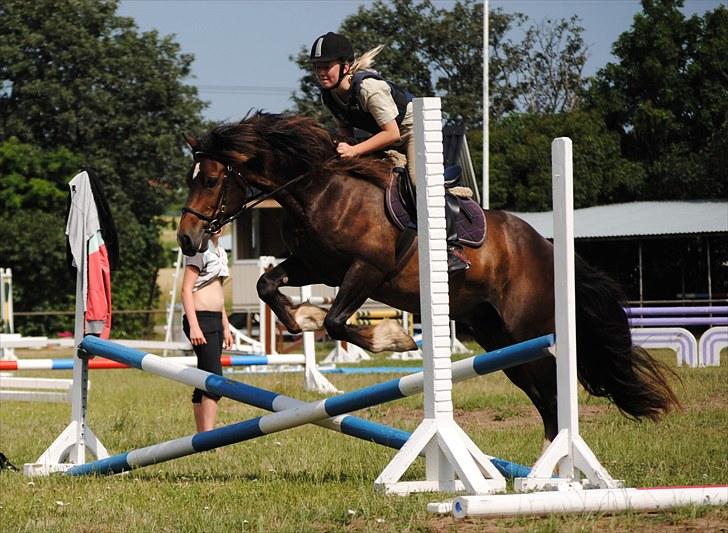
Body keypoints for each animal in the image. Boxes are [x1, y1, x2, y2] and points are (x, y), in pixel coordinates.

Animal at [176, 111, 676, 440]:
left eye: (211, 180)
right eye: (191, 178)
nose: (185, 238)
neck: (319, 189)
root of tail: (547, 247)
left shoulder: (367, 270)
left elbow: (339, 320)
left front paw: (391, 339)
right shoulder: (315, 266)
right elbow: (268, 285)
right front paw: (302, 319)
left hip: (528, 329)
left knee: (552, 387)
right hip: (494, 336)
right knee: (541, 395)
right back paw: (542, 475)